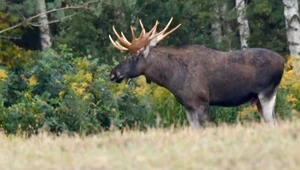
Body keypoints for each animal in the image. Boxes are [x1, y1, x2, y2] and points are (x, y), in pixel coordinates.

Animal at [107, 17, 284, 129]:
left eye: (133, 57)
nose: (113, 74)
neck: (172, 78)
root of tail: (283, 61)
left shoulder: (200, 102)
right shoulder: (188, 105)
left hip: (267, 91)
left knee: (273, 122)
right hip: (260, 99)